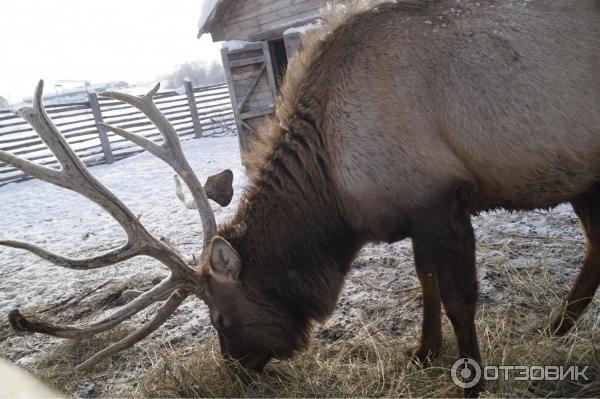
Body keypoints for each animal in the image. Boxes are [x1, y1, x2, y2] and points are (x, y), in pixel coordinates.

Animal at [3, 0, 600, 396]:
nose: (235, 369)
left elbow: (457, 298)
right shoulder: (412, 209)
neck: (337, 193)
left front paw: (469, 380)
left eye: (220, 318)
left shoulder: (442, 201)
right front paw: (422, 354)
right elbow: (425, 285)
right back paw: (557, 326)